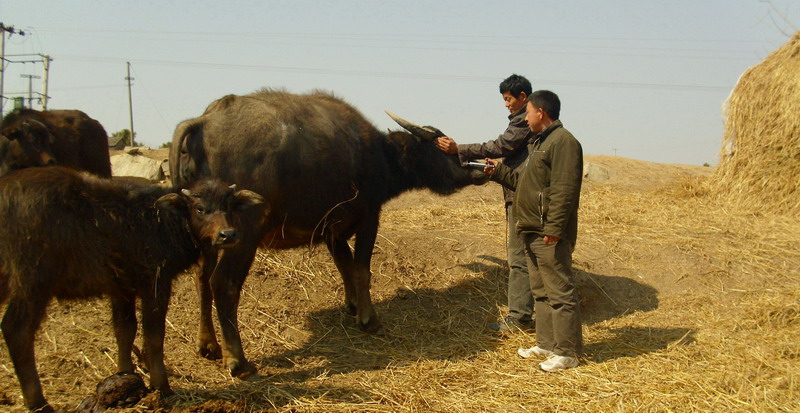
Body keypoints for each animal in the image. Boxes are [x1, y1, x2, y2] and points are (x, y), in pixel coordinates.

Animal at [0, 166, 265, 413]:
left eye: (229, 206)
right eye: (200, 208)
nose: (227, 235)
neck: (162, 221)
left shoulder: (121, 288)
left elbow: (125, 330)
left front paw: (125, 377)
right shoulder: (155, 283)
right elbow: (154, 335)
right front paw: (161, 386)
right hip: (33, 285)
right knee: (17, 331)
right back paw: (38, 402)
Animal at [169, 89, 488, 379]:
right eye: (442, 147)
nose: (477, 171)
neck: (377, 156)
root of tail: (206, 120)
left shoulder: (332, 232)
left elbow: (344, 267)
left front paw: (353, 305)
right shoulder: (369, 218)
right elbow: (361, 270)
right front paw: (369, 319)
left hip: (209, 236)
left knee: (202, 280)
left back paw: (209, 345)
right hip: (242, 235)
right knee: (223, 283)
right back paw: (238, 360)